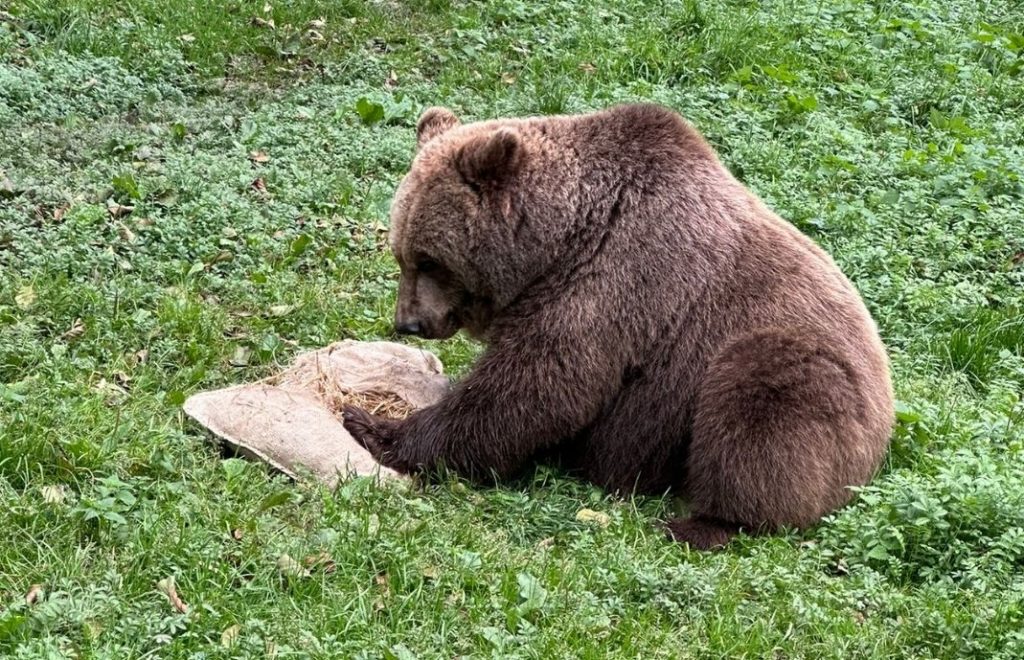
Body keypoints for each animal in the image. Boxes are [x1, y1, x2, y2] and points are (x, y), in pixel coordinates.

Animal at [339, 101, 892, 544]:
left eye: (429, 260)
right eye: (401, 254)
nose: (408, 323)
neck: (555, 245)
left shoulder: (615, 285)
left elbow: (537, 387)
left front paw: (374, 426)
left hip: (800, 378)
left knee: (761, 403)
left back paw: (700, 524)